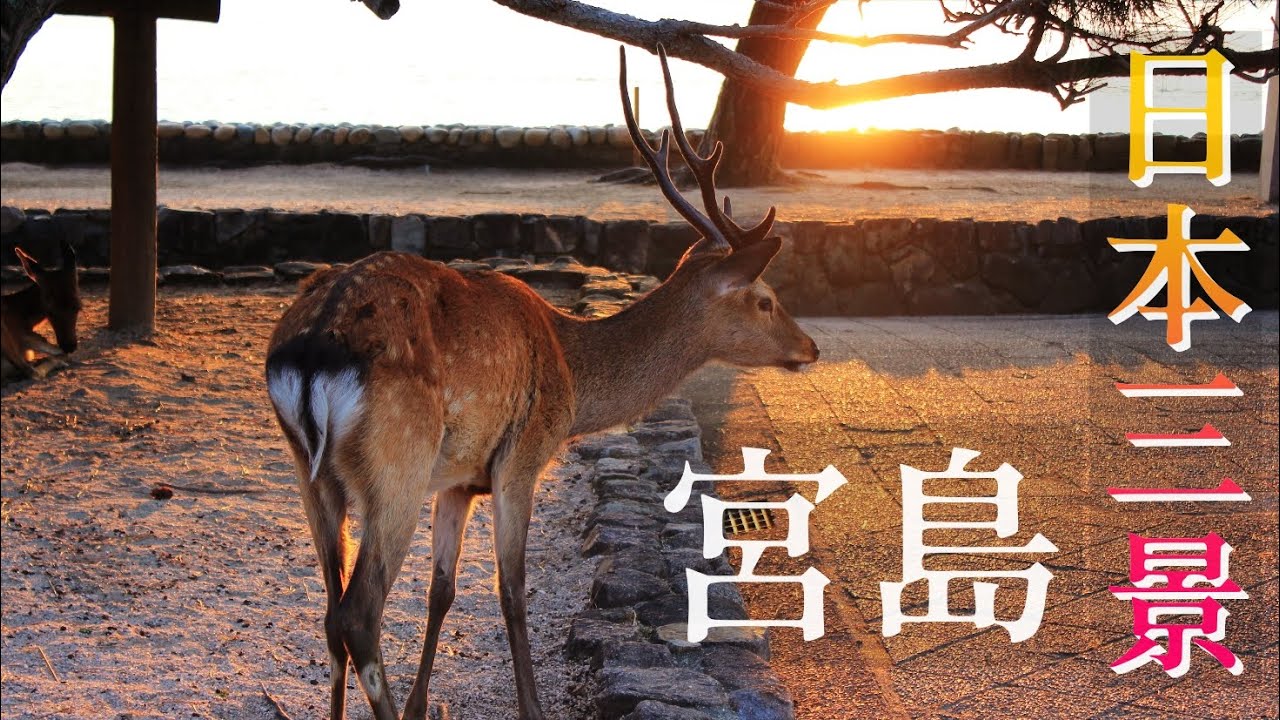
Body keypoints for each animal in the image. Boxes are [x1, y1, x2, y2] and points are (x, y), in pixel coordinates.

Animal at [264, 44, 820, 720]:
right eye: (765, 300)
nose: (810, 347)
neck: (571, 379)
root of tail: (311, 349)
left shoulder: (459, 479)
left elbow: (443, 589)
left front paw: (425, 702)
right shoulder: (520, 458)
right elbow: (512, 589)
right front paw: (530, 705)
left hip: (311, 472)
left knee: (327, 613)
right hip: (396, 467)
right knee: (357, 615)